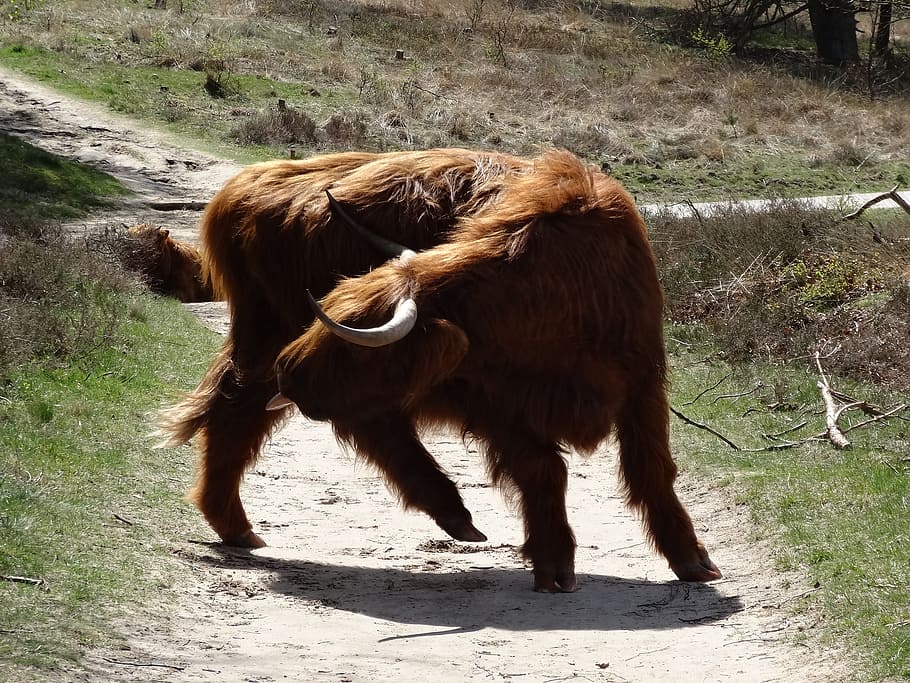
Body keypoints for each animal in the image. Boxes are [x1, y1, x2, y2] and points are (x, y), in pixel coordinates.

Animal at [160, 148, 721, 592]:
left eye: (351, 344)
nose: (291, 373)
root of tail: (248, 186)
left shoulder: (642, 386)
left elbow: (652, 472)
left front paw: (692, 561)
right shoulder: (496, 402)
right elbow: (544, 469)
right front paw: (555, 564)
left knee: (248, 412)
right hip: (270, 341)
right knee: (274, 416)